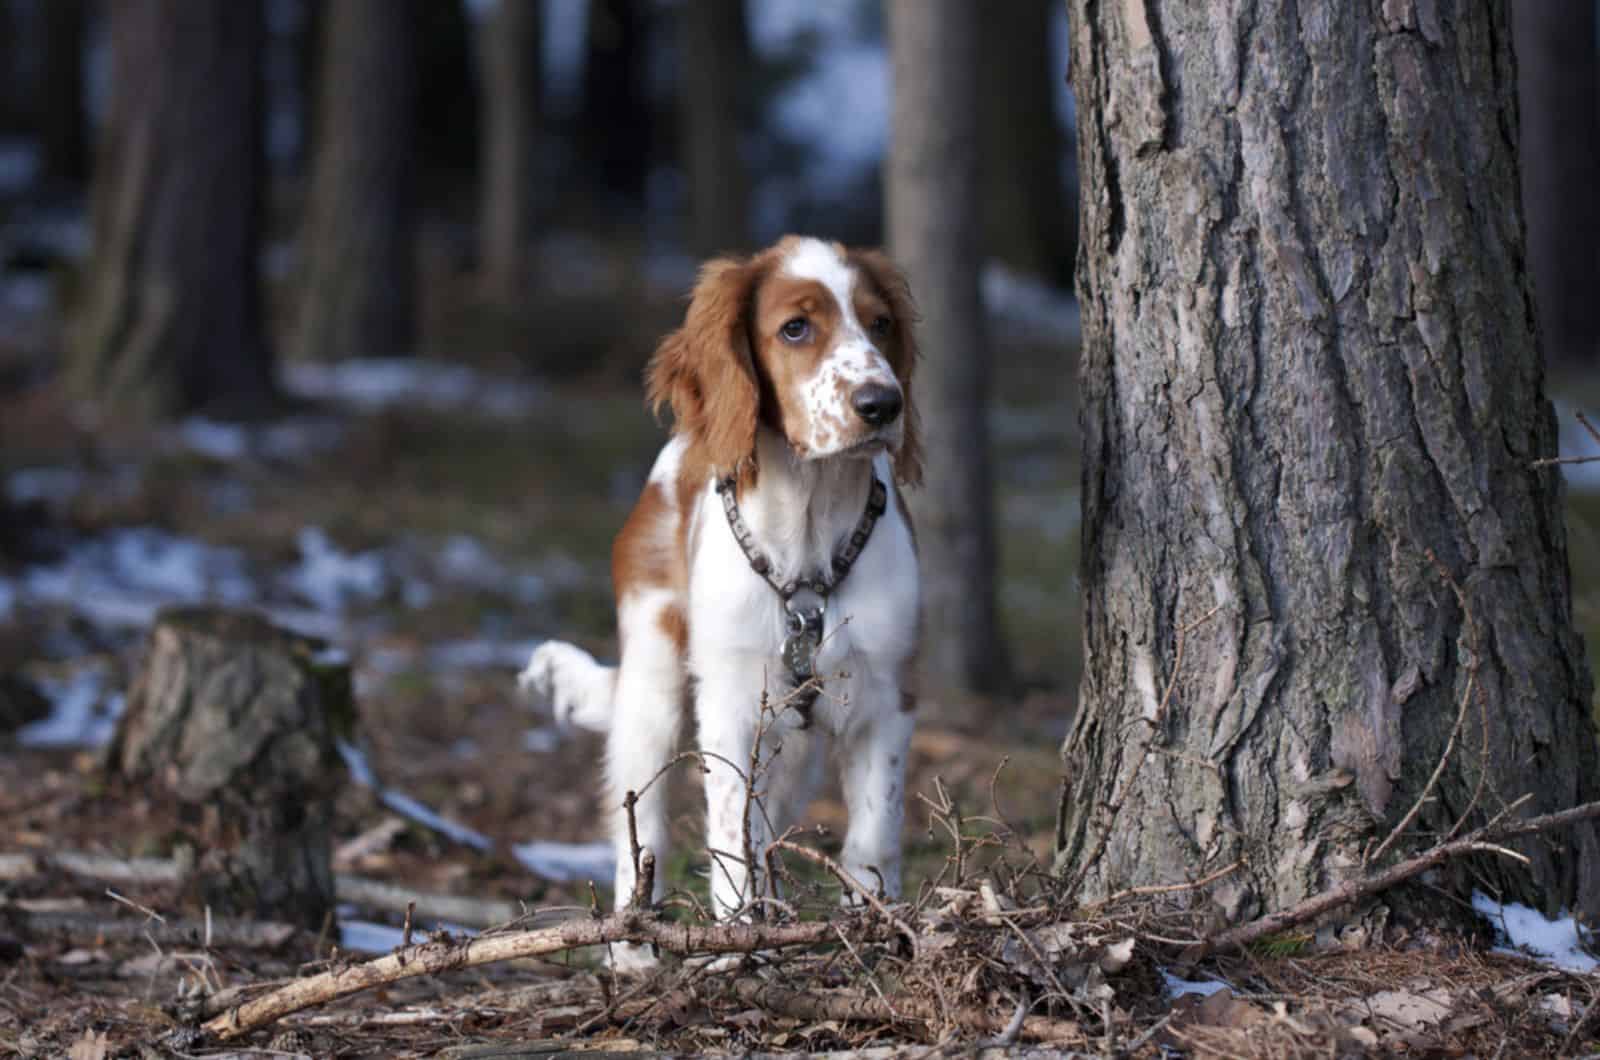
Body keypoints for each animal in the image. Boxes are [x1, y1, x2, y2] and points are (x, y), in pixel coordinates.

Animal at [524, 235, 928, 973]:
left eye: (881, 323)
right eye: (795, 328)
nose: (882, 404)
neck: (808, 535)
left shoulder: (888, 693)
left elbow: (873, 833)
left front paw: (872, 928)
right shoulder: (731, 703)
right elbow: (728, 837)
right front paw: (736, 943)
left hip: (792, 742)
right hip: (652, 687)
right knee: (640, 823)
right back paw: (632, 948)